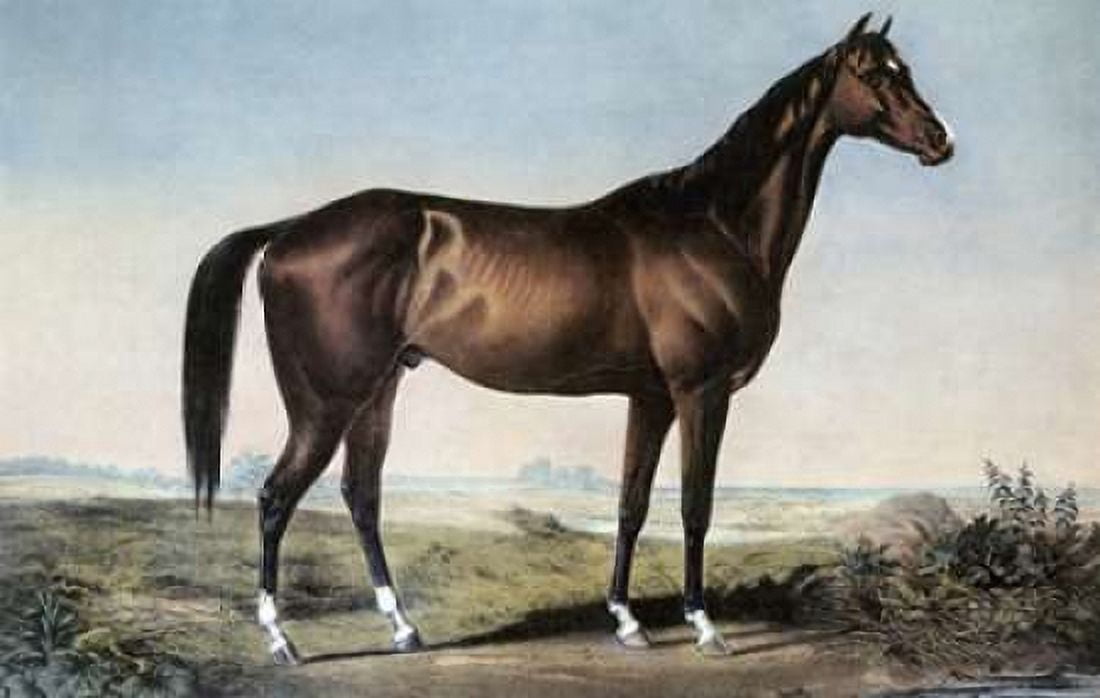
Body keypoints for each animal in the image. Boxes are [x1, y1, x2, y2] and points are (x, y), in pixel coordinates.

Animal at [182, 13, 953, 663]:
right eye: (875, 74)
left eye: (904, 67)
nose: (940, 141)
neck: (710, 225)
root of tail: (289, 231)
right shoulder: (700, 392)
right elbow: (695, 507)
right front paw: (705, 627)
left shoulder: (651, 397)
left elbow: (631, 506)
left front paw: (628, 621)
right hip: (325, 402)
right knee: (276, 496)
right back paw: (281, 639)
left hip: (378, 391)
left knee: (360, 497)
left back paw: (403, 628)